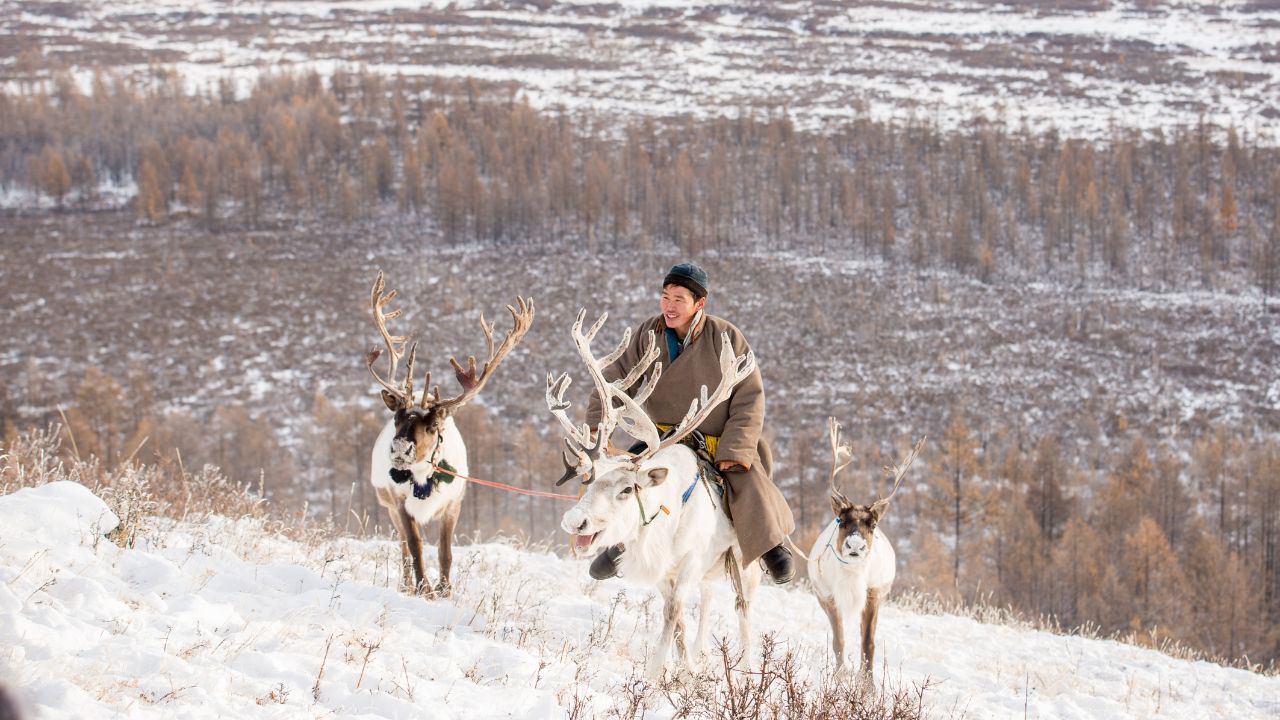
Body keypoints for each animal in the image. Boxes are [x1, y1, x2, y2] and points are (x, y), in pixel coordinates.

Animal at [366, 271, 534, 598]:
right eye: (396, 418)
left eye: (433, 426)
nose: (400, 449)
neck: (422, 478)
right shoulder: (400, 504)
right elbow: (415, 546)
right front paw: (425, 588)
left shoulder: (454, 504)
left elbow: (446, 551)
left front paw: (445, 589)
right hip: (387, 506)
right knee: (402, 548)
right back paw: (407, 584)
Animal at [547, 310, 760, 679]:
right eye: (589, 479)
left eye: (626, 488)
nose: (575, 521)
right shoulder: (662, 570)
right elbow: (679, 623)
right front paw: (687, 667)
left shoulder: (689, 562)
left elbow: (673, 614)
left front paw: (655, 675)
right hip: (712, 570)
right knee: (708, 600)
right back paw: (703, 653)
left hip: (743, 565)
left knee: (743, 610)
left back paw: (747, 668)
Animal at [807, 417, 923, 681]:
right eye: (841, 520)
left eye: (873, 525)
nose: (855, 545)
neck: (852, 578)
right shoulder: (829, 597)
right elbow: (839, 641)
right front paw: (840, 676)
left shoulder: (873, 594)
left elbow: (868, 643)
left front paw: (868, 684)